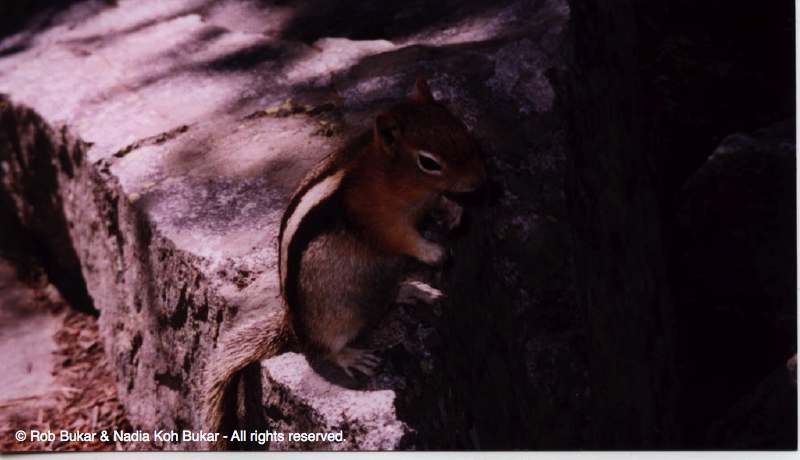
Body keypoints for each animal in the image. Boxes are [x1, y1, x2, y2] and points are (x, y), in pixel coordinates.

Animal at [203, 79, 485, 446]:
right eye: (429, 162)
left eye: (460, 126)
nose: (481, 181)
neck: (393, 179)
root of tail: (292, 326)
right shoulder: (380, 224)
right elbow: (404, 240)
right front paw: (434, 250)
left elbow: (441, 203)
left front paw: (454, 212)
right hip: (333, 319)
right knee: (323, 349)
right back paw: (352, 355)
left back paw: (414, 290)